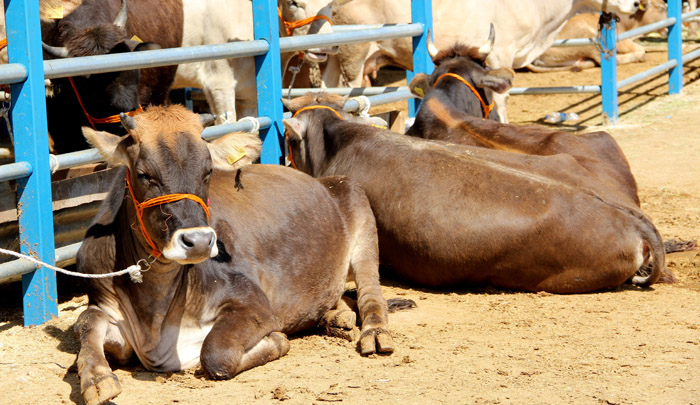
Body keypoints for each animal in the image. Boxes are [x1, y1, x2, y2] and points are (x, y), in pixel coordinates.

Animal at [77, 105, 396, 404]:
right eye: (144, 175)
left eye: (207, 172)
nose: (199, 241)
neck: (154, 312)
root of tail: (324, 181)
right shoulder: (103, 302)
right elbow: (86, 323)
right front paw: (97, 379)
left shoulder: (253, 303)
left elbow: (215, 353)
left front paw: (277, 341)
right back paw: (336, 316)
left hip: (360, 219)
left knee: (371, 296)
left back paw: (374, 334)